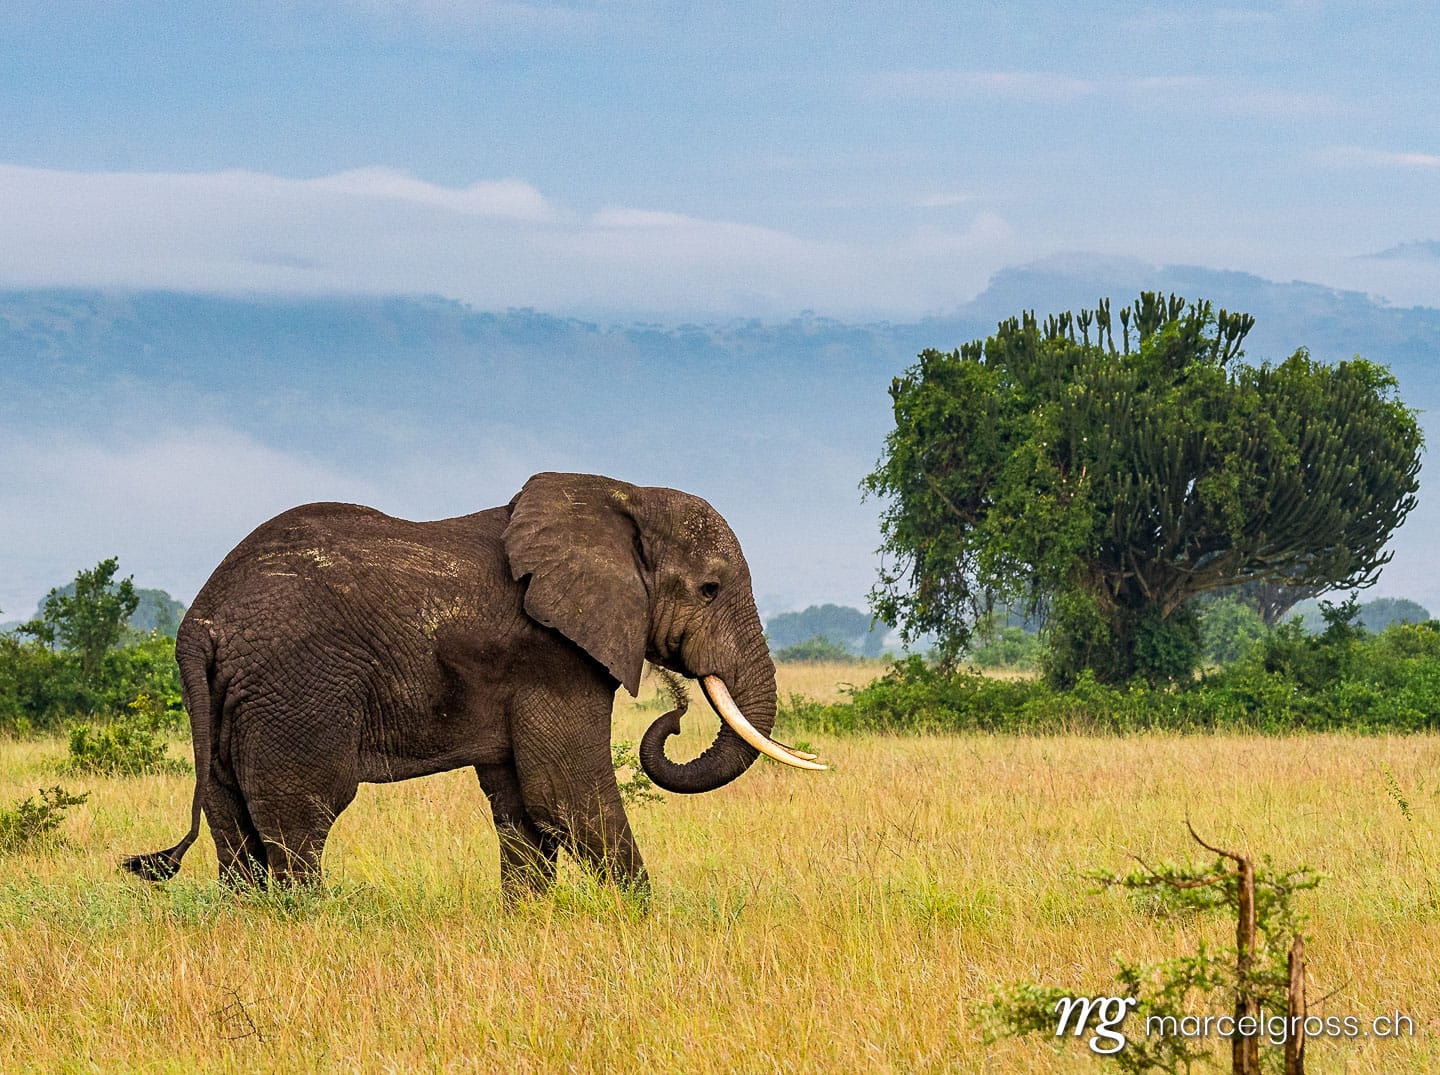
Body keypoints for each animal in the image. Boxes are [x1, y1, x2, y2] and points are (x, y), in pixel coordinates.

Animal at [124, 472, 824, 896]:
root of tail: (201, 622)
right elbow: (565, 795)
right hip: (298, 687)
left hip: (230, 696)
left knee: (231, 815)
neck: (619, 495)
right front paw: (641, 924)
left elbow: (524, 808)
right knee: (300, 811)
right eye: (709, 588)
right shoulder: (551, 652)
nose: (675, 713)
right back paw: (309, 924)